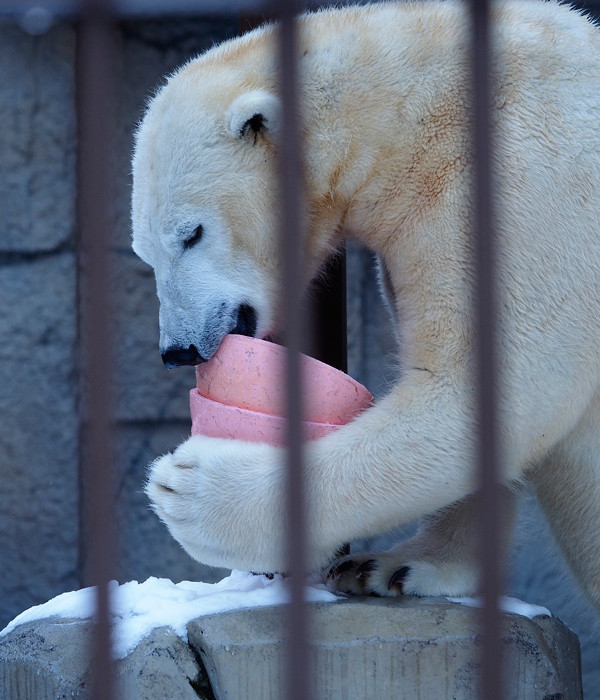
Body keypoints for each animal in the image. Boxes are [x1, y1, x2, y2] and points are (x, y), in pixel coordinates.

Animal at [131, 1, 600, 608]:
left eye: (192, 233)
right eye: (144, 253)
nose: (179, 350)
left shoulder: (531, 181)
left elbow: (501, 386)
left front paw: (189, 491)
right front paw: (397, 565)